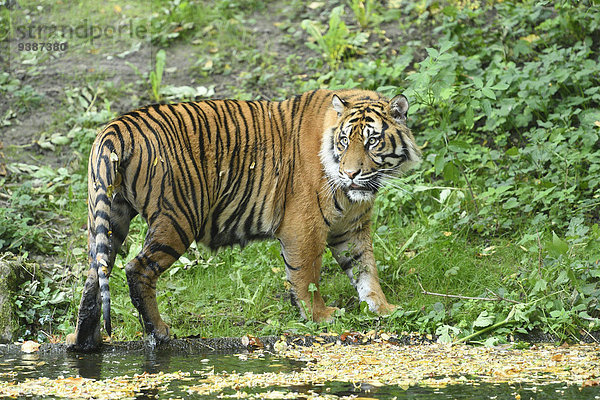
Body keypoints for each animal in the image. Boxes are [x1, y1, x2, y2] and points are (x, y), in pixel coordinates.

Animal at [65, 89, 422, 352]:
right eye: (345, 140)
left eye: (372, 141)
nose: (350, 174)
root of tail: (116, 128)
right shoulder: (304, 225)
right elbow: (306, 276)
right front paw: (320, 317)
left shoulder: (351, 227)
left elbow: (366, 270)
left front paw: (383, 308)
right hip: (178, 217)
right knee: (136, 269)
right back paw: (160, 332)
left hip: (109, 215)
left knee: (94, 276)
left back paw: (84, 342)